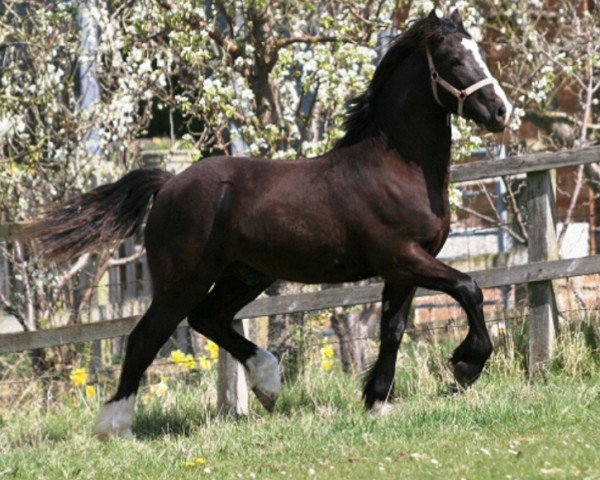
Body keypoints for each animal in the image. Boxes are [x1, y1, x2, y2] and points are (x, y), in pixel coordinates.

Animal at [31, 10, 510, 438]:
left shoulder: (405, 268)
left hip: (245, 274)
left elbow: (392, 330)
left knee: (209, 318)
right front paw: (466, 365)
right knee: (145, 337)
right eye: (454, 60)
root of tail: (168, 184)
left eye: (481, 53)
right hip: (182, 280)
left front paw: (376, 401)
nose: (502, 112)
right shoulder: (402, 258)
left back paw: (267, 382)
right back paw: (116, 426)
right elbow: (469, 288)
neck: (394, 167)